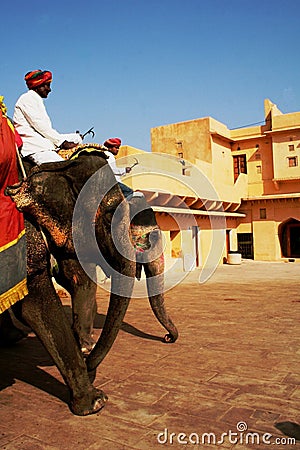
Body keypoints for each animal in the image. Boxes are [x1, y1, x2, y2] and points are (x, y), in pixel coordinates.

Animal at [3, 149, 177, 414]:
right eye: (108, 218)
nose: (167, 338)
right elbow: (36, 302)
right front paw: (95, 402)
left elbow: (80, 279)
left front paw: (85, 346)